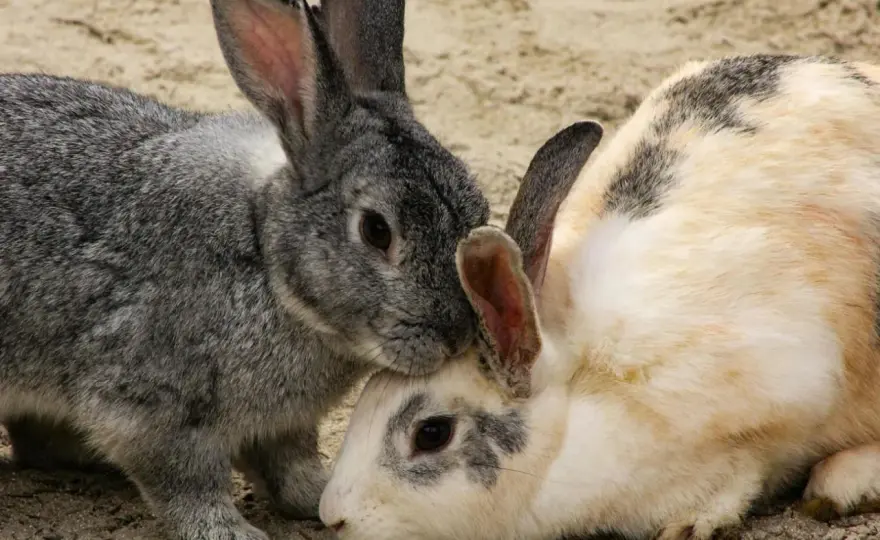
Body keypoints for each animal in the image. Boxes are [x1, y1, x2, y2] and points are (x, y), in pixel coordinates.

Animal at [0, 0, 490, 538]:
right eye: (377, 230)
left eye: (478, 209)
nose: (457, 335)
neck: (265, 259)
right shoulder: (151, 409)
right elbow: (185, 483)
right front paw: (230, 531)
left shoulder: (283, 426)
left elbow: (289, 468)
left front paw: (318, 498)